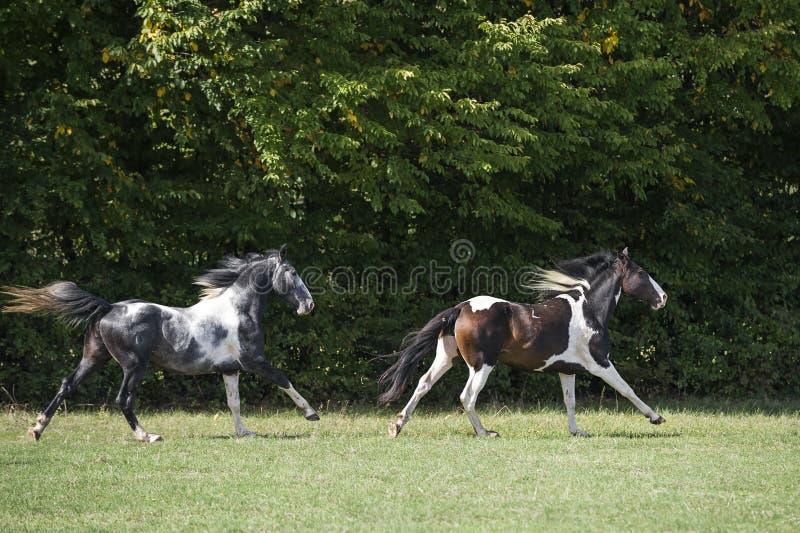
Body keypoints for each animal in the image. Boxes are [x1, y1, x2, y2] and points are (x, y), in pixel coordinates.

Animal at [1, 245, 320, 442]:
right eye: (292, 273)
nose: (309, 305)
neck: (238, 309)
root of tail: (109, 308)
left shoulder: (230, 369)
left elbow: (234, 403)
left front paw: (245, 433)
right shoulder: (255, 361)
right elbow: (283, 379)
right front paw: (311, 414)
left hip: (93, 358)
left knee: (67, 385)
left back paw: (36, 429)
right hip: (134, 366)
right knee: (123, 399)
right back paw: (148, 436)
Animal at [378, 248, 668, 438]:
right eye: (641, 273)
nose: (663, 298)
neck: (589, 310)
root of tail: (461, 308)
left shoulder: (567, 370)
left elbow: (570, 401)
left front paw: (577, 432)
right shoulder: (600, 363)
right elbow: (627, 389)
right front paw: (656, 417)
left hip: (446, 358)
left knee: (423, 384)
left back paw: (397, 425)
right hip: (482, 364)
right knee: (467, 396)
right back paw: (485, 432)